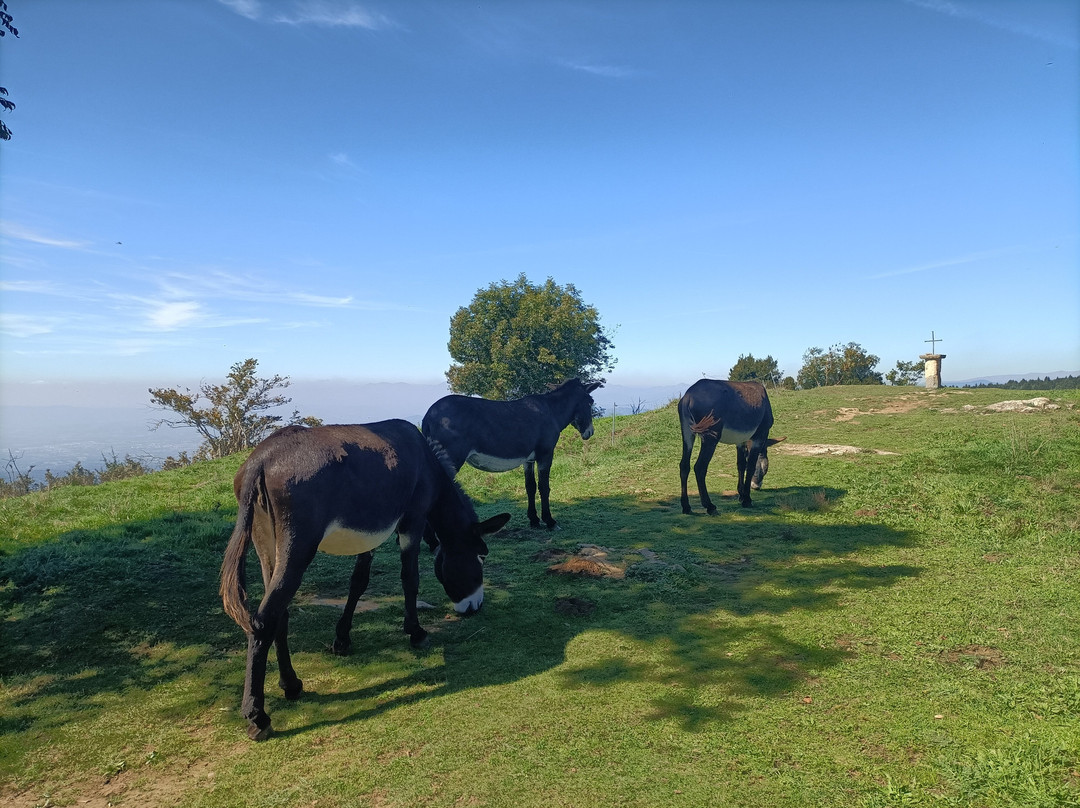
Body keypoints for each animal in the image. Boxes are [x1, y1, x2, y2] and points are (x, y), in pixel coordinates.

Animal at [220, 420, 511, 741]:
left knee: (278, 614)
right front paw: (416, 632)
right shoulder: (413, 520)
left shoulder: (370, 535)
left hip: (266, 545)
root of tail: (261, 459)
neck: (426, 460)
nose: (475, 607)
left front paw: (342, 639)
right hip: (298, 546)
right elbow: (410, 578)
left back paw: (291, 685)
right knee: (264, 619)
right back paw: (257, 716)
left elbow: (359, 581)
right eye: (481, 556)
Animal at [422, 378, 602, 529]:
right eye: (590, 402)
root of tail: (428, 416)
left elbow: (530, 486)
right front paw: (550, 521)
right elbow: (544, 487)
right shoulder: (545, 454)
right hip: (451, 458)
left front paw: (534, 520)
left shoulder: (528, 459)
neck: (551, 411)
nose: (590, 432)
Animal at [678, 379, 785, 514]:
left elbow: (741, 465)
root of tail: (689, 395)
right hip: (710, 438)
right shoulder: (759, 437)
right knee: (700, 467)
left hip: (687, 433)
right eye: (766, 467)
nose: (756, 486)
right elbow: (750, 466)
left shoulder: (741, 441)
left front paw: (741, 494)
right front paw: (747, 500)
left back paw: (686, 506)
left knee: (684, 466)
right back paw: (710, 506)